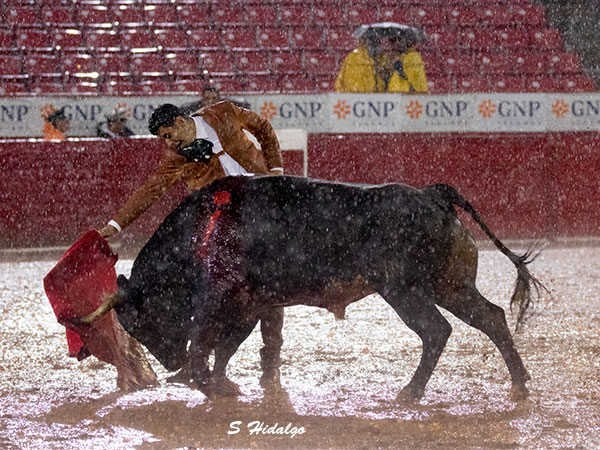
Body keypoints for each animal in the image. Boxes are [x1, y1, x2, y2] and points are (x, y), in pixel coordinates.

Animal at [81, 175, 544, 400]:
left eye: (138, 321)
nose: (168, 362)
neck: (202, 232)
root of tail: (434, 196)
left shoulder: (222, 302)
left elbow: (206, 343)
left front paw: (204, 383)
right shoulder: (252, 304)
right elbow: (227, 346)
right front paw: (221, 384)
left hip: (404, 290)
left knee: (436, 331)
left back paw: (410, 392)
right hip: (449, 285)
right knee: (491, 317)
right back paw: (520, 383)